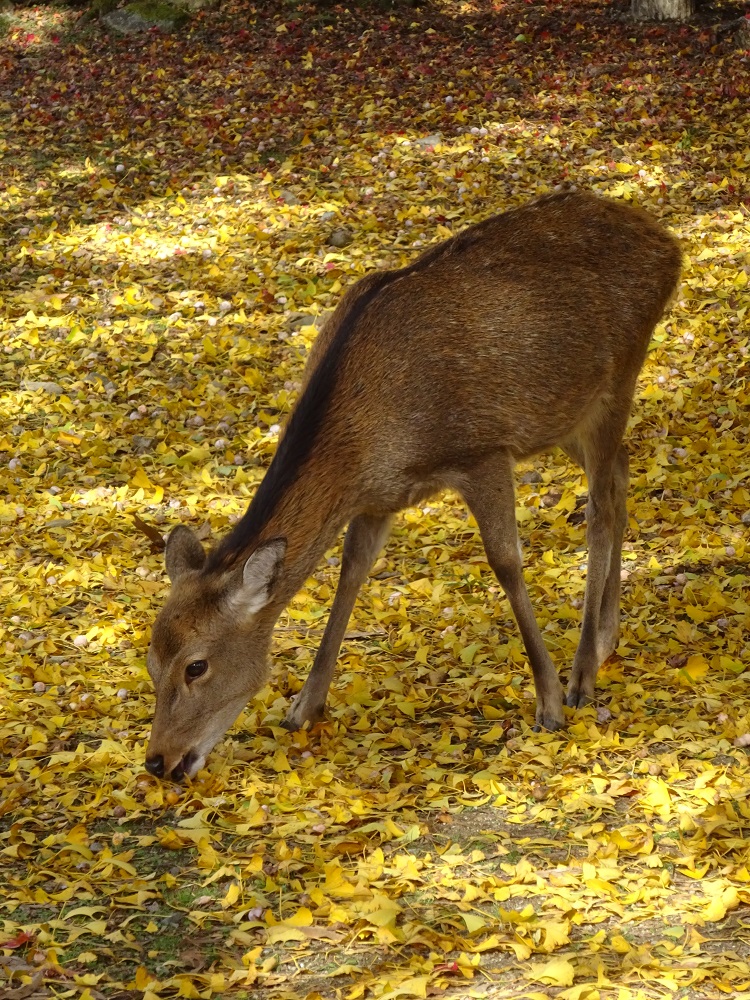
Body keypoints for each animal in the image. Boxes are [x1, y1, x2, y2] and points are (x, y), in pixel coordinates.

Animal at [144, 191, 681, 781]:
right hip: (566, 415)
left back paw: (583, 670)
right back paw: (607, 637)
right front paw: (305, 704)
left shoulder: (481, 451)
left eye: (197, 665)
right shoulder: (378, 498)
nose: (158, 760)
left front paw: (549, 703)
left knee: (600, 509)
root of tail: (668, 244)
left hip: (618, 378)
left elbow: (506, 563)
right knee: (621, 471)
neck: (368, 443)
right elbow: (351, 572)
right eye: (149, 660)